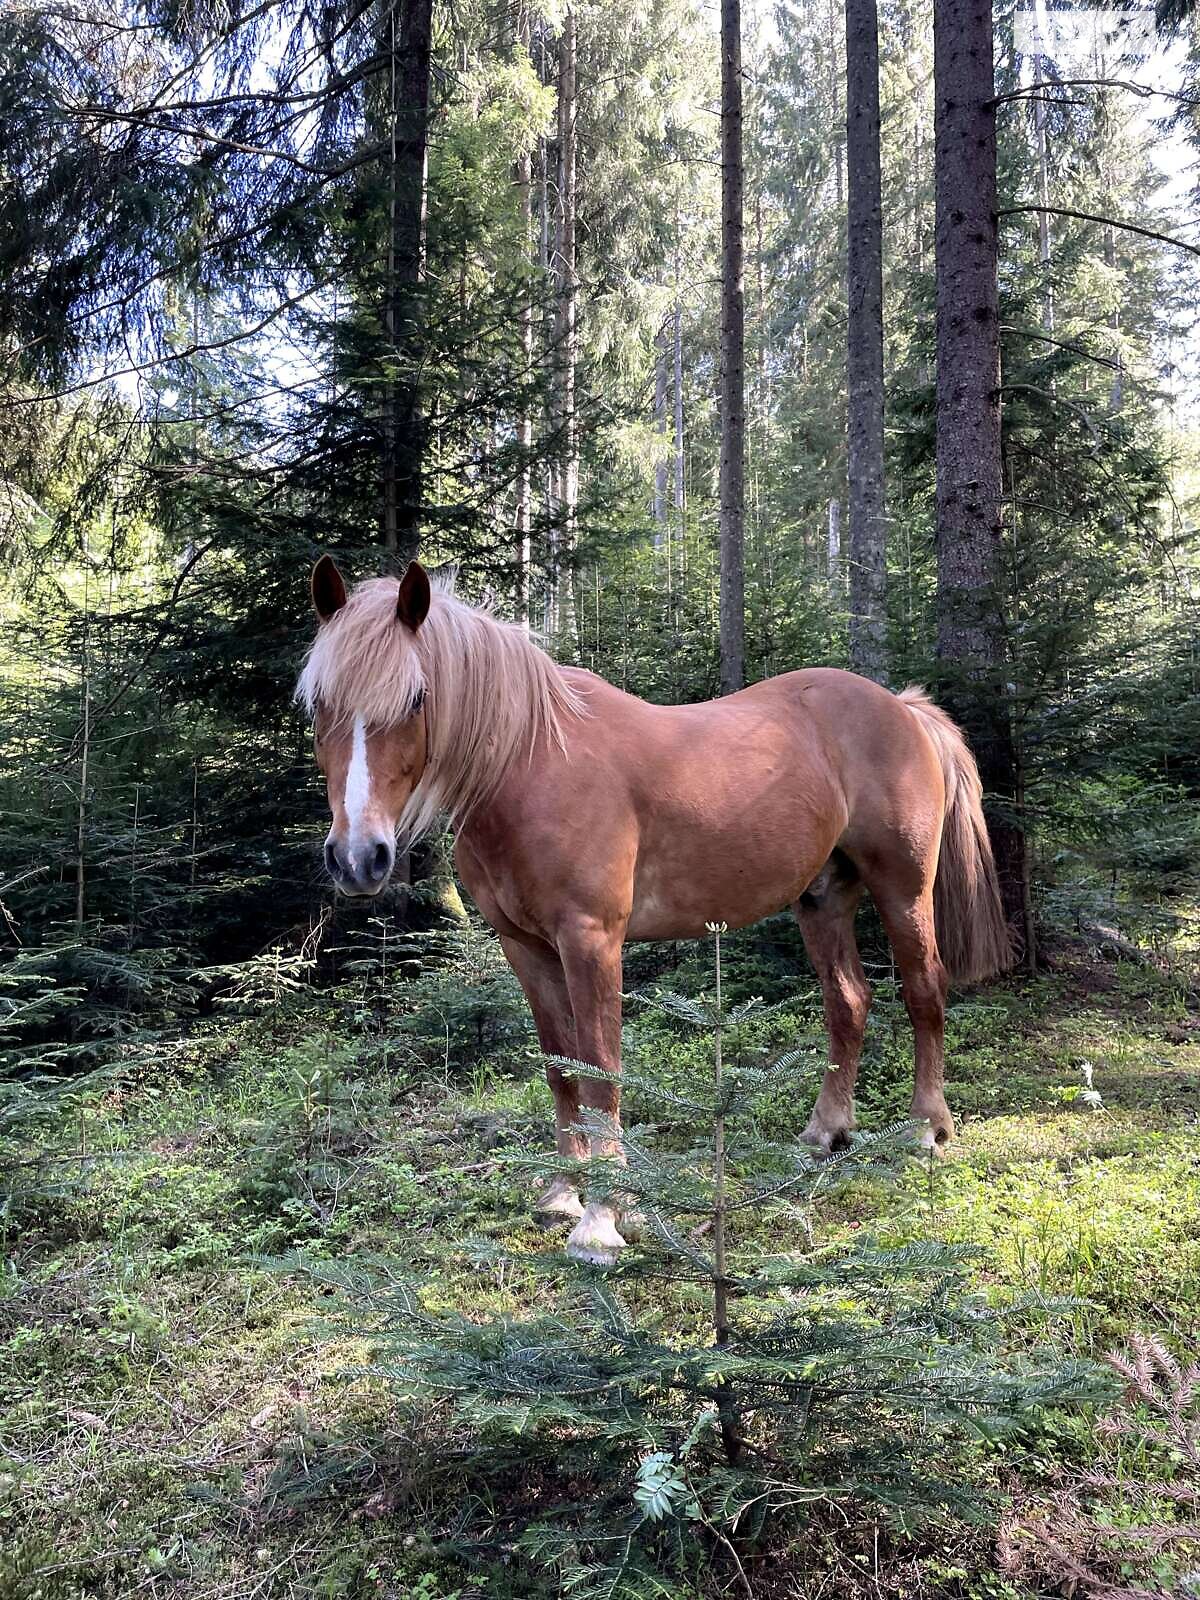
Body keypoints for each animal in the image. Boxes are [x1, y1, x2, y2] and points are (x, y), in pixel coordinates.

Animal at [299, 556, 1017, 1267]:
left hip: (903, 888)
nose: (358, 857)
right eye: (318, 703)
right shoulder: (523, 947)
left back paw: (926, 1130)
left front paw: (602, 1218)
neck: (531, 763)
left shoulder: (591, 940)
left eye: (416, 698)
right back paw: (825, 1132)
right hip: (822, 896)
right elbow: (561, 1066)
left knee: (924, 990)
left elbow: (601, 1071)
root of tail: (902, 707)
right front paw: (563, 1193)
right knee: (850, 1001)